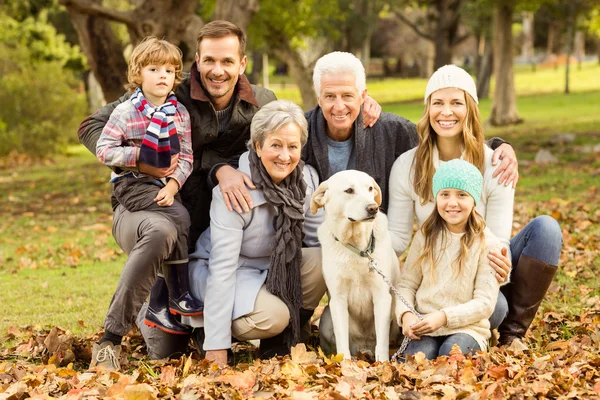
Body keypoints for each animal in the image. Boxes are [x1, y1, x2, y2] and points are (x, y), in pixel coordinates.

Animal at [312, 170, 400, 360]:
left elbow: (382, 341)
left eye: (370, 188)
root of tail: (363, 348)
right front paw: (343, 363)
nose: (373, 208)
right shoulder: (338, 299)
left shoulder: (382, 296)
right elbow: (341, 340)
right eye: (349, 190)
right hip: (326, 318)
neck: (357, 246)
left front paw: (383, 363)